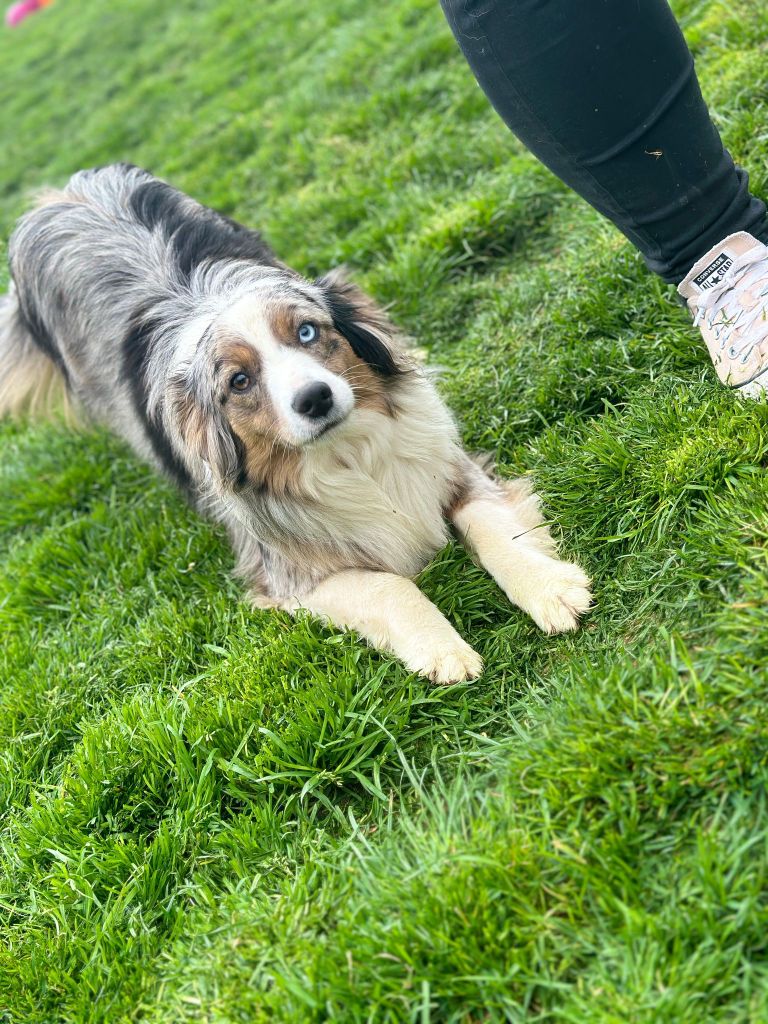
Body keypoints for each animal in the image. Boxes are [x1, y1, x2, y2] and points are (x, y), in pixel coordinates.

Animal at [0, 163, 591, 683]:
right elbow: (388, 587)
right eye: (239, 381)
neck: (345, 455)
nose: (314, 398)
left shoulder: (446, 469)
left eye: (307, 332)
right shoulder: (286, 571)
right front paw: (441, 648)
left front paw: (548, 588)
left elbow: (493, 525)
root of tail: (54, 196)